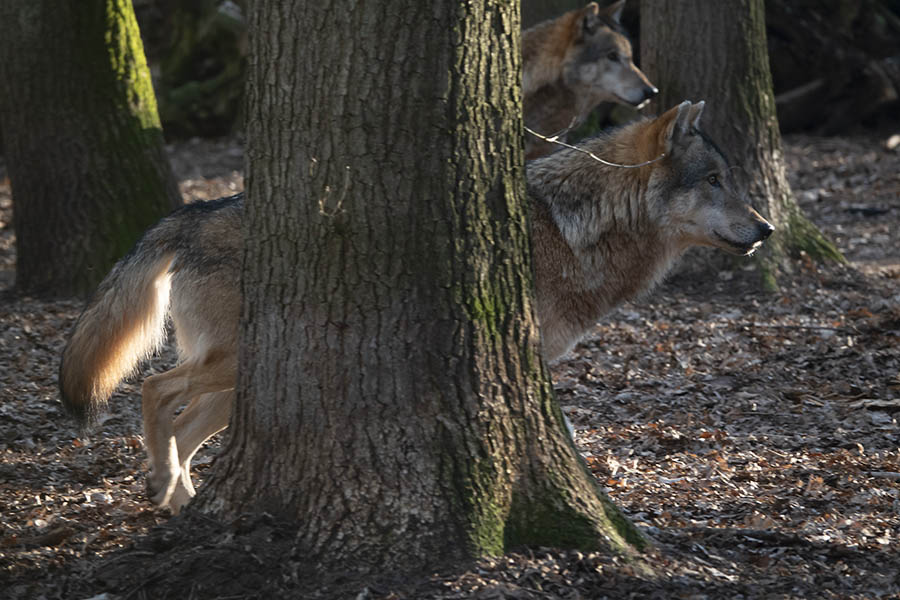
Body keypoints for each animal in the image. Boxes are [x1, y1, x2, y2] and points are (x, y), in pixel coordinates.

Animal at [59, 101, 772, 512]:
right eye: (715, 181)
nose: (766, 229)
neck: (582, 224)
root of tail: (189, 214)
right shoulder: (524, 360)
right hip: (236, 364)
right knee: (152, 389)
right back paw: (167, 490)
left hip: (246, 382)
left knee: (181, 426)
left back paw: (177, 500)